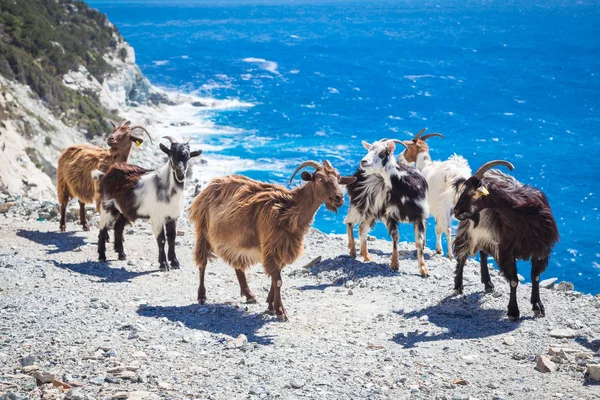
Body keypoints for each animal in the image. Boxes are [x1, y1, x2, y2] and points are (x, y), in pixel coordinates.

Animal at [92, 136, 202, 270]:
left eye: (188, 156)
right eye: (171, 154)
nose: (180, 171)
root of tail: (106, 174)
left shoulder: (173, 217)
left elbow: (172, 239)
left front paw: (175, 262)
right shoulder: (157, 217)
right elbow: (162, 240)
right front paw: (164, 264)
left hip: (123, 209)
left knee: (118, 228)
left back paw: (121, 254)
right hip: (107, 205)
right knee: (102, 227)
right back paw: (102, 256)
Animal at [344, 139, 428, 276]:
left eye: (382, 153)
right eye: (369, 150)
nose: (363, 162)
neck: (403, 186)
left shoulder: (419, 216)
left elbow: (419, 243)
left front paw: (423, 269)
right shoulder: (390, 215)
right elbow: (395, 238)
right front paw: (394, 264)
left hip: (373, 211)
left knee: (362, 228)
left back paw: (366, 255)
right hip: (360, 204)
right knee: (350, 222)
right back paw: (352, 250)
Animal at [452, 161, 560, 320]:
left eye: (472, 193)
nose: (456, 211)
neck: (523, 215)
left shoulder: (540, 249)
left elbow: (535, 277)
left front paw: (537, 306)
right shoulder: (507, 250)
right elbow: (514, 281)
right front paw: (513, 311)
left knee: (483, 254)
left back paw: (488, 283)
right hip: (469, 231)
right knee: (463, 255)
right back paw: (458, 285)